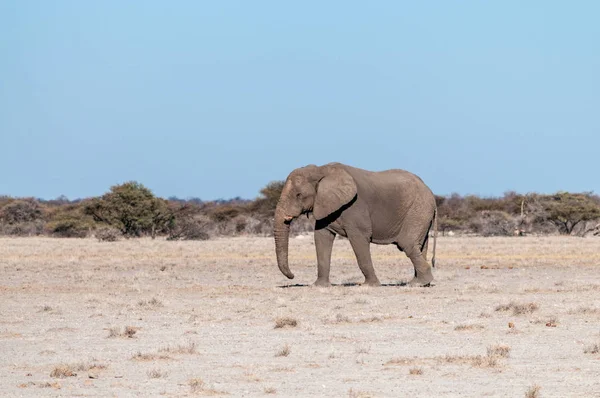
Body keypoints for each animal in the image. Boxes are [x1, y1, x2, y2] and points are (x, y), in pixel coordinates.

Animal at [274, 162, 436, 286]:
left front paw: (369, 285)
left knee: (407, 244)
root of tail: (430, 191)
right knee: (420, 246)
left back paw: (417, 283)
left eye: (298, 195)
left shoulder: (355, 208)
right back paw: (422, 282)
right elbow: (321, 238)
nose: (293, 276)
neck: (321, 170)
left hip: (418, 209)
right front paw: (318, 286)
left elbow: (359, 239)